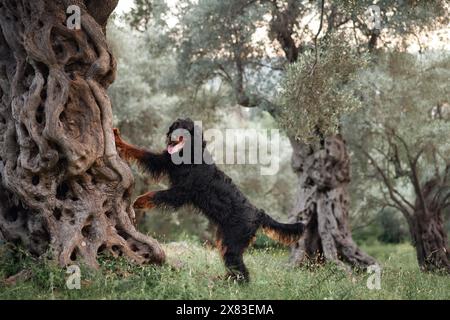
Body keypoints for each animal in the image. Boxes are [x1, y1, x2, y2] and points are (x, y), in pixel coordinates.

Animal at [114, 119, 304, 282]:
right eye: (174, 126)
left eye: (184, 127)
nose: (171, 136)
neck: (188, 155)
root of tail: (258, 213)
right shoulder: (163, 162)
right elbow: (139, 152)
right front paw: (117, 139)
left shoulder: (181, 191)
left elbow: (157, 194)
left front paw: (139, 201)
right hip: (225, 239)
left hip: (233, 241)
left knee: (241, 270)